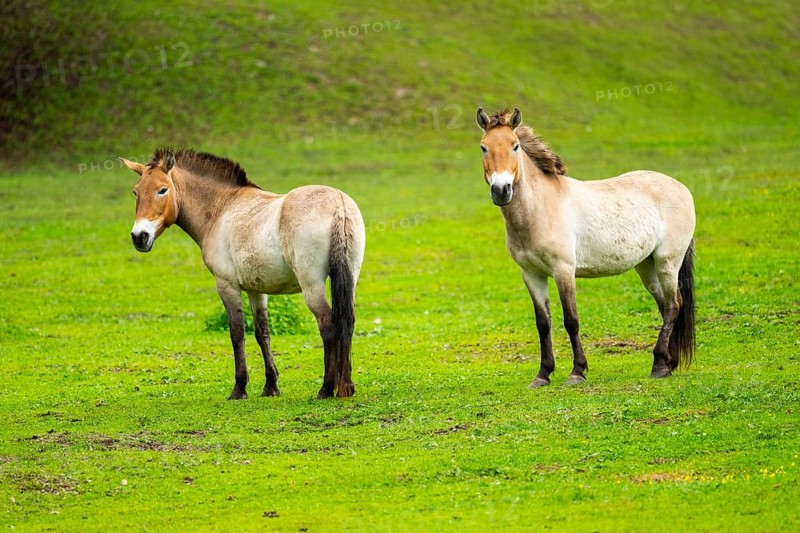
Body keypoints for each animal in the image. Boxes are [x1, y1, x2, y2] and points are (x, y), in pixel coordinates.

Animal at [121, 148, 365, 400]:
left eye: (162, 190)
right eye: (136, 192)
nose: (139, 237)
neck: (221, 208)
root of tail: (338, 205)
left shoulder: (226, 285)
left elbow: (237, 333)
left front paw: (239, 388)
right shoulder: (256, 290)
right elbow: (262, 333)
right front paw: (270, 386)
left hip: (312, 285)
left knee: (328, 324)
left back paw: (326, 388)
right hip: (350, 278)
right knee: (347, 322)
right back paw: (346, 386)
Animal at [476, 108, 696, 386]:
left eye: (515, 146)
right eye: (483, 147)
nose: (501, 190)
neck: (540, 207)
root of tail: (681, 188)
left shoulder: (563, 270)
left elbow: (571, 320)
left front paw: (577, 372)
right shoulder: (531, 275)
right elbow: (543, 323)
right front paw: (543, 374)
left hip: (668, 262)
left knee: (673, 305)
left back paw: (658, 365)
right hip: (647, 266)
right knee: (666, 305)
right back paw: (669, 364)